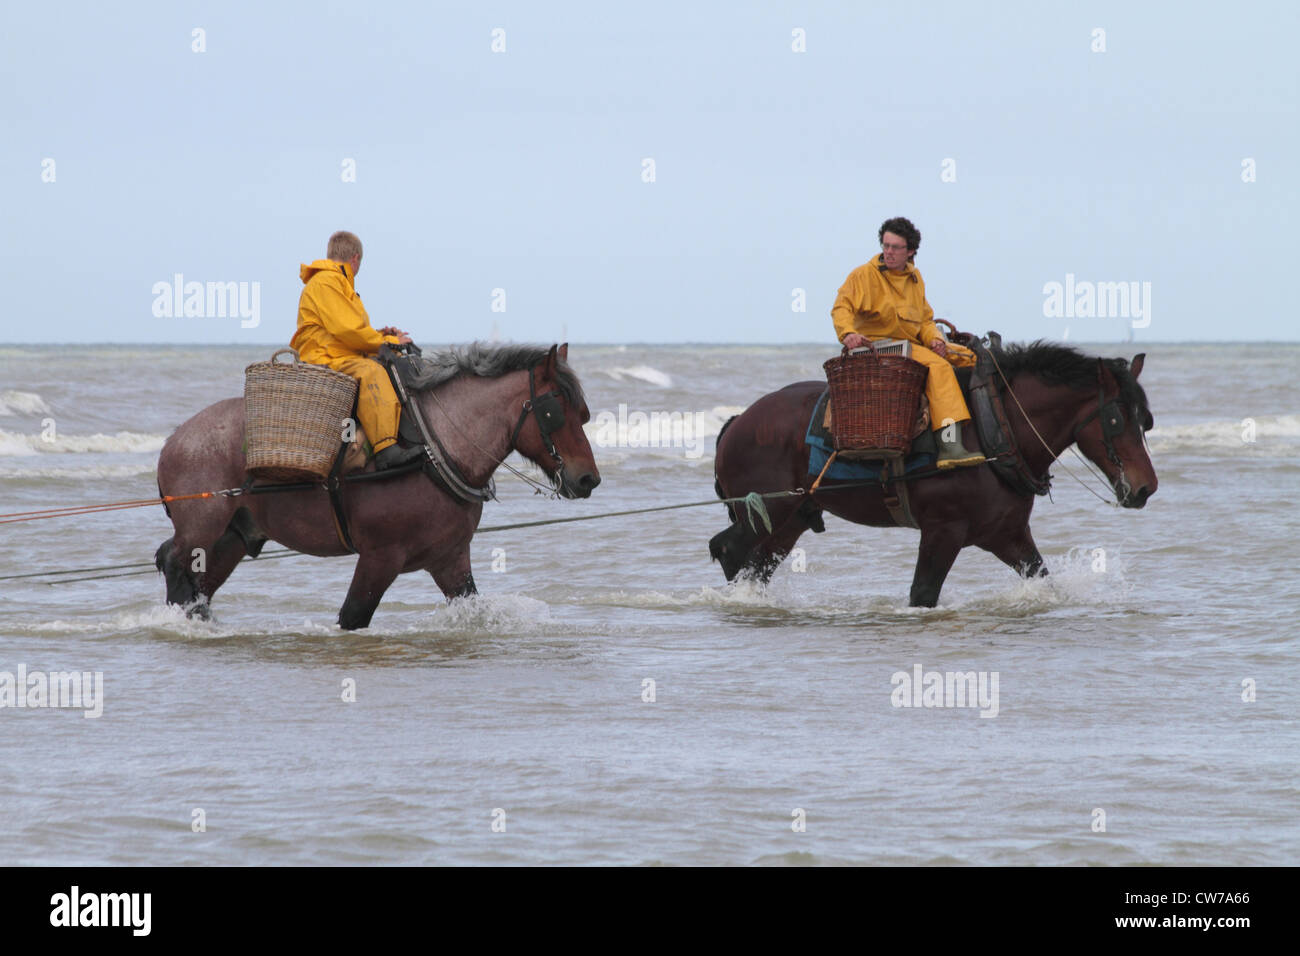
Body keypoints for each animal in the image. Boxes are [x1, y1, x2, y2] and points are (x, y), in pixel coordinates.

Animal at [154, 343, 599, 629]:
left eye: (584, 413)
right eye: (554, 409)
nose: (588, 478)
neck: (433, 449)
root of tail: (175, 438)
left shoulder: (450, 560)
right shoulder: (379, 558)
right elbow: (353, 615)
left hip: (232, 537)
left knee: (194, 581)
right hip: (203, 525)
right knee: (173, 562)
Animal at [709, 341, 1157, 606]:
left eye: (1146, 421)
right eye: (1116, 419)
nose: (1146, 488)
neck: (995, 426)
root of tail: (739, 421)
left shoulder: (1007, 535)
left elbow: (1043, 579)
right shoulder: (943, 530)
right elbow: (923, 593)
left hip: (791, 518)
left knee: (754, 563)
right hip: (764, 511)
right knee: (728, 549)